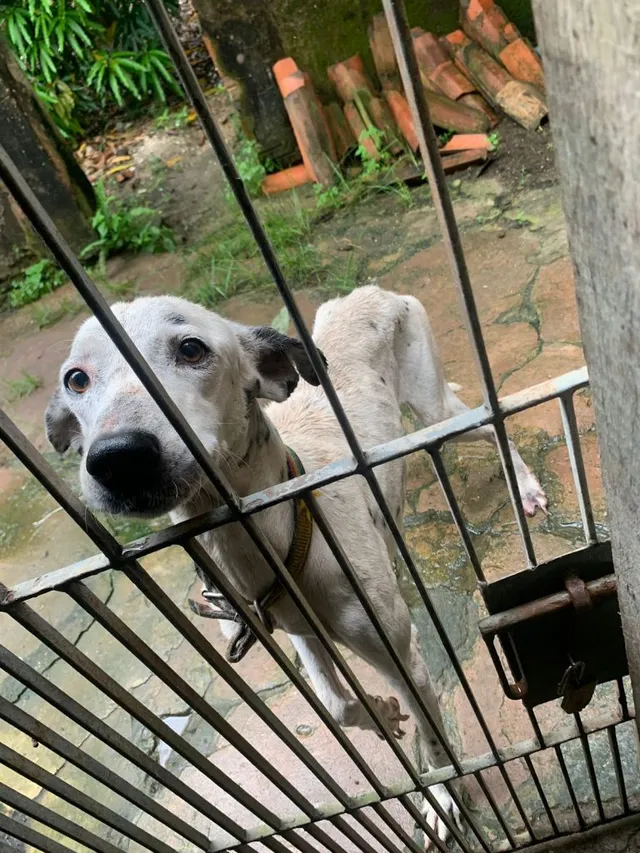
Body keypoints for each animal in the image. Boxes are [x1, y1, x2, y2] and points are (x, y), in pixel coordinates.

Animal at [46, 284, 544, 840]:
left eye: (192, 349)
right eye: (76, 379)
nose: (117, 458)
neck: (279, 531)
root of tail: (371, 290)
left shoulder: (404, 655)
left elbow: (436, 744)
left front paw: (440, 800)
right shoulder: (301, 633)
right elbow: (336, 703)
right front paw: (380, 713)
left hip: (436, 413)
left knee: (492, 422)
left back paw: (526, 488)